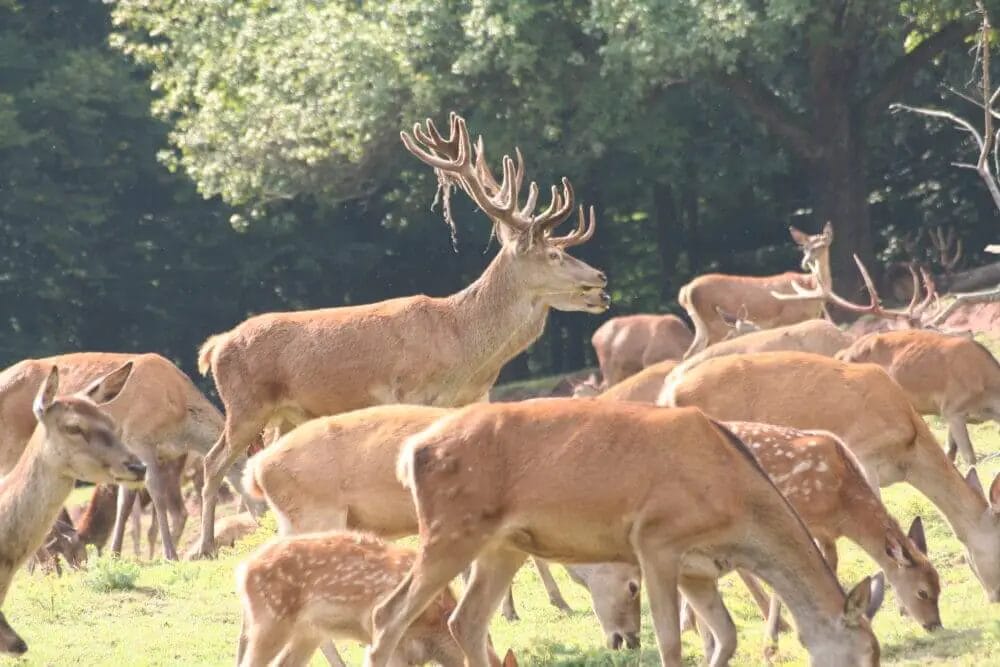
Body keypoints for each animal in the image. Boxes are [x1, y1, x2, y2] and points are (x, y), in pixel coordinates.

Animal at [0, 352, 252, 561]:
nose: (260, 524)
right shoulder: (140, 439)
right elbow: (156, 495)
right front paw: (170, 554)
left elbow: (125, 502)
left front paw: (115, 554)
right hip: (12, 450)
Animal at [194, 112, 608, 558]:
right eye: (554, 254)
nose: (601, 281)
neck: (463, 345)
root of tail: (214, 347)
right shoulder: (410, 390)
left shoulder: (474, 397)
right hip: (244, 404)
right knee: (213, 461)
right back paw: (203, 546)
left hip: (285, 414)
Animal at [365, 399, 880, 667]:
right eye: (862, 656)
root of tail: (411, 450)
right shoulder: (656, 539)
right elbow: (671, 640)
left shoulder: (700, 569)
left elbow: (728, 636)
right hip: (451, 529)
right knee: (386, 614)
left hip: (501, 545)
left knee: (466, 620)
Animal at [678, 222, 834, 358]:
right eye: (804, 248)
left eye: (822, 245)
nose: (806, 262)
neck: (811, 288)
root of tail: (686, 291)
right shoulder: (789, 318)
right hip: (714, 323)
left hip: (700, 324)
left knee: (689, 353)